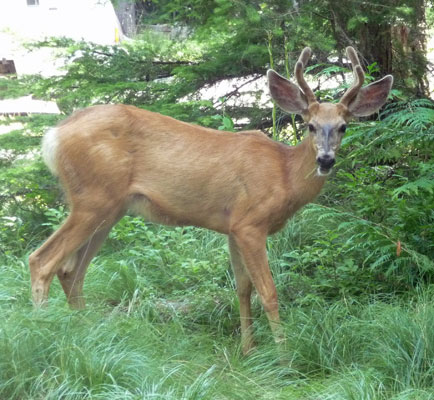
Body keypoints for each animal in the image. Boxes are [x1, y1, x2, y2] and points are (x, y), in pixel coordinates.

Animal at [28, 46, 394, 354]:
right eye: (310, 125)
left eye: (344, 126)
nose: (326, 160)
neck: (284, 174)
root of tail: (53, 136)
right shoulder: (250, 223)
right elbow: (268, 291)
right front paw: (283, 355)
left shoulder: (233, 228)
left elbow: (243, 288)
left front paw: (248, 349)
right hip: (92, 198)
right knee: (42, 261)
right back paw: (48, 333)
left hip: (110, 208)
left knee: (71, 271)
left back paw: (88, 334)